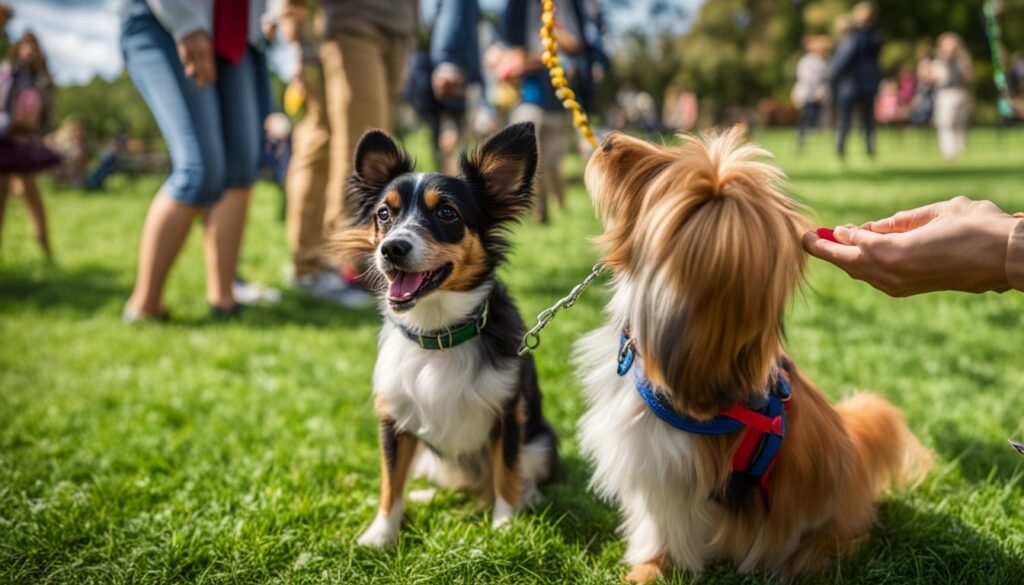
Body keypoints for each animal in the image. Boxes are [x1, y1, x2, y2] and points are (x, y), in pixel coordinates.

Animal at [333, 121, 561, 549]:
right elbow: (390, 482)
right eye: (384, 214)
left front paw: (505, 526)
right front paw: (380, 534)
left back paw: (527, 497)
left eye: (446, 212)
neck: (438, 334)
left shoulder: (510, 413)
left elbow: (506, 472)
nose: (391, 248)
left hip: (541, 442)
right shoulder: (393, 419)